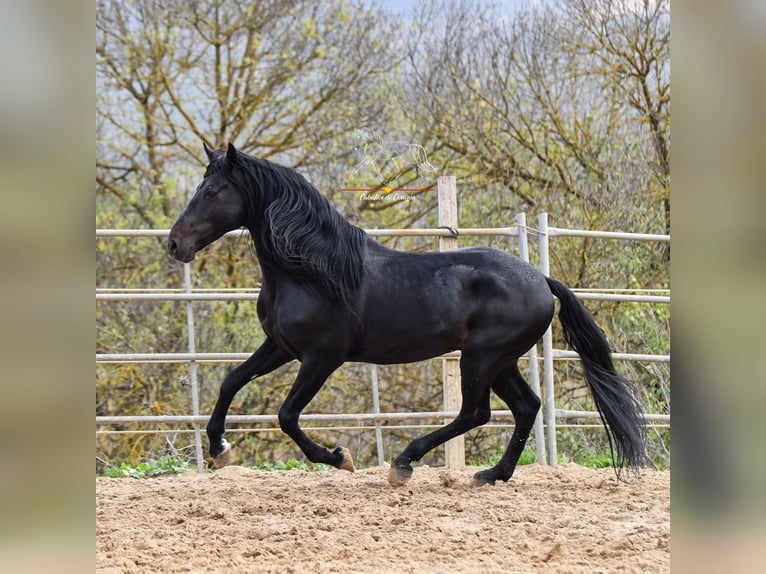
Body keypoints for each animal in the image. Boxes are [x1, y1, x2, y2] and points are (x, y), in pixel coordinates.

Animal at [170, 144, 648, 486]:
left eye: (212, 192)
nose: (175, 244)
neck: (311, 271)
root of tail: (541, 280)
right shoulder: (280, 347)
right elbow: (231, 381)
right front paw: (220, 451)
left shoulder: (321, 358)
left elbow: (287, 415)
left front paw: (338, 458)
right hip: (502, 361)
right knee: (526, 407)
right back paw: (492, 475)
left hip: (482, 359)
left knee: (476, 413)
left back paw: (404, 463)